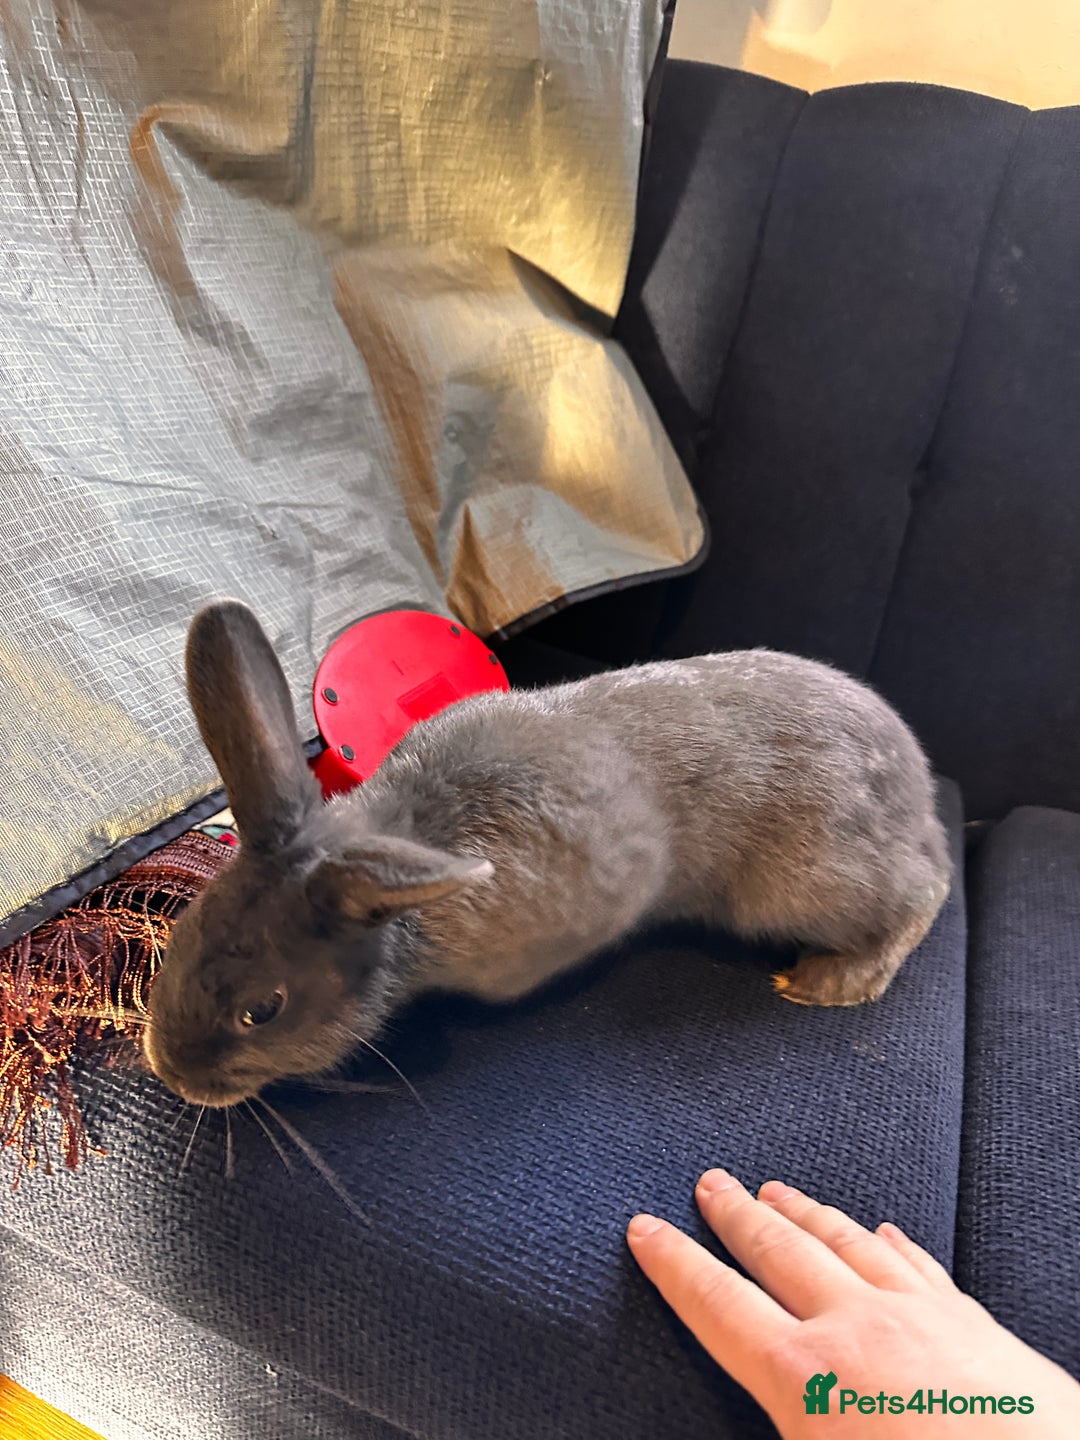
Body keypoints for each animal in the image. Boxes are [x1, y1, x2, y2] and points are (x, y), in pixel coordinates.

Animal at [143, 600, 951, 1108]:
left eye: (263, 1010)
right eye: (183, 933)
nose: (170, 1072)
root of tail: (920, 795)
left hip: (805, 883)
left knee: (924, 892)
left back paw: (828, 980)